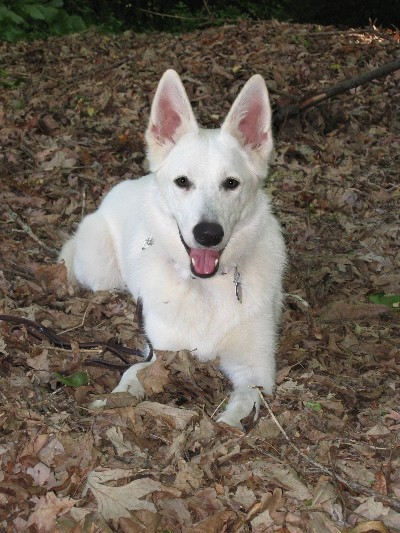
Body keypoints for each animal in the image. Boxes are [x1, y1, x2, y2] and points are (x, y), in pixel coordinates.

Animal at [58, 69, 284, 428]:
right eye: (182, 182)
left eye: (231, 183)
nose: (208, 234)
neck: (205, 288)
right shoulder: (159, 352)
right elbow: (132, 373)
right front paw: (112, 403)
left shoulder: (255, 370)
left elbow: (243, 402)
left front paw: (226, 425)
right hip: (100, 271)